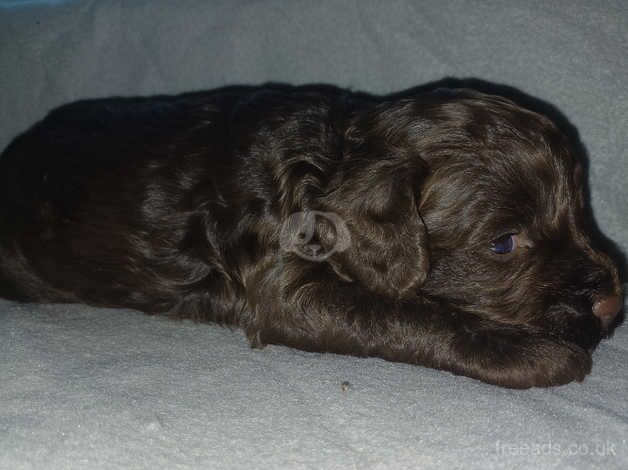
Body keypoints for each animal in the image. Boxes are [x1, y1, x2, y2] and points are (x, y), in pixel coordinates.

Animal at [0, 85, 624, 390]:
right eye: (503, 243)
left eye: (582, 210)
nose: (613, 303)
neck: (326, 161)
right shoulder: (286, 291)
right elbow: (415, 315)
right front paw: (533, 356)